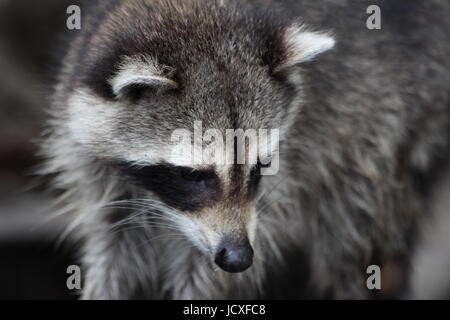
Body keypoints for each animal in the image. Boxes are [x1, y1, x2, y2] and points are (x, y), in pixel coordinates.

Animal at [40, 0, 448, 300]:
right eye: (193, 175)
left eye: (260, 166)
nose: (238, 258)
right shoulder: (90, 166)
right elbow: (112, 248)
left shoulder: (293, 162)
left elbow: (207, 275)